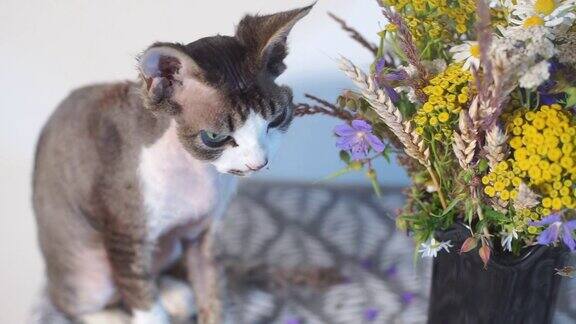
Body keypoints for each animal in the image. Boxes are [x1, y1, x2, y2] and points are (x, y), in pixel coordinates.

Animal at [30, 5, 310, 324]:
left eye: (276, 120)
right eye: (215, 137)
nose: (257, 164)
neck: (197, 174)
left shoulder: (204, 234)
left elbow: (212, 292)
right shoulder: (125, 238)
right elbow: (143, 301)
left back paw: (175, 294)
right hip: (87, 269)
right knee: (71, 302)